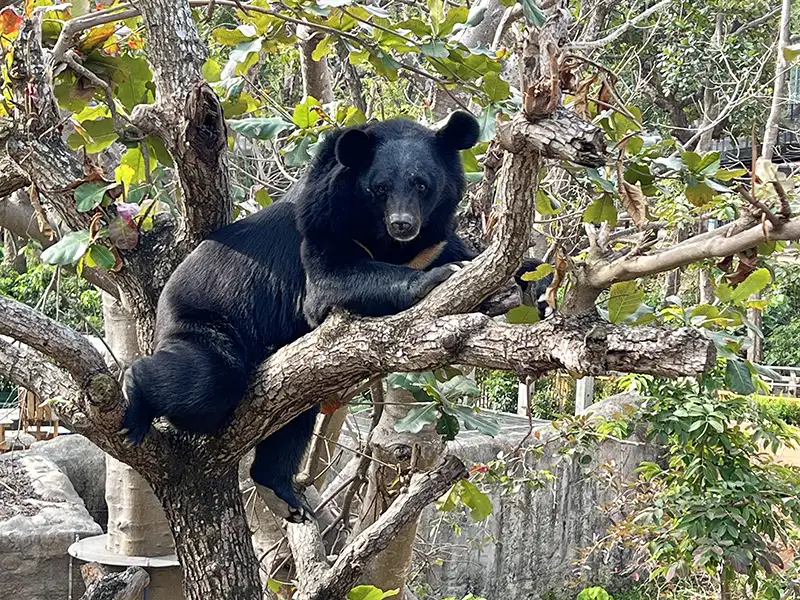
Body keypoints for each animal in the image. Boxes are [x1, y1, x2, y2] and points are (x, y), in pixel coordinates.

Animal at [123, 111, 552, 520]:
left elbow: (476, 256)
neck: (388, 242)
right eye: (380, 188)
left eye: (422, 184)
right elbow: (330, 282)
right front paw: (440, 277)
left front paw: (535, 284)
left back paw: (282, 493)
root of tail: (162, 309)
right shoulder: (322, 225)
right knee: (207, 381)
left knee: (290, 418)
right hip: (205, 322)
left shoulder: (433, 240)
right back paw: (135, 393)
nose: (403, 224)